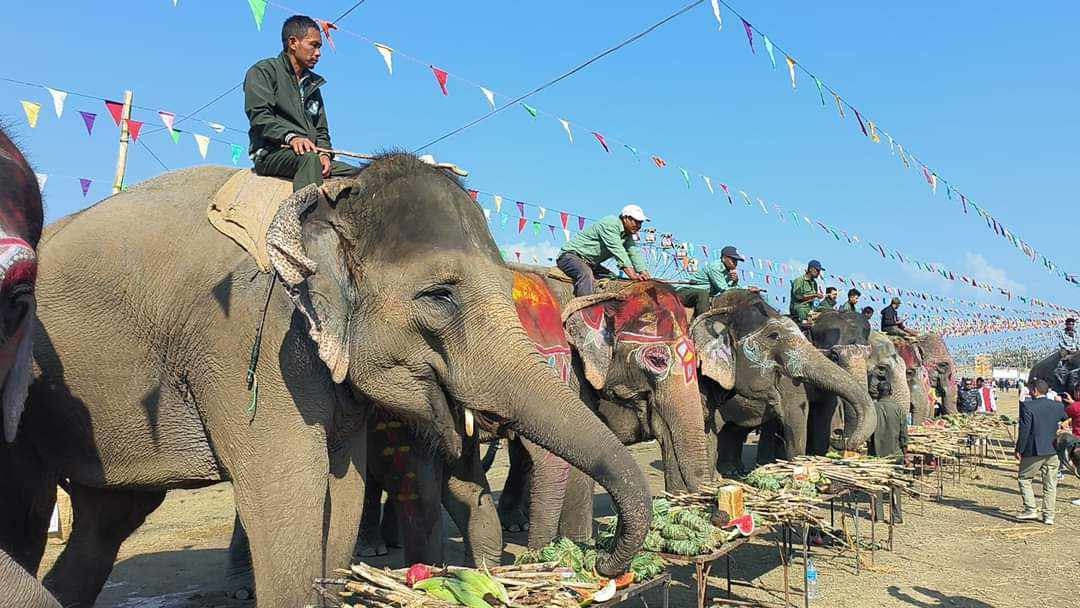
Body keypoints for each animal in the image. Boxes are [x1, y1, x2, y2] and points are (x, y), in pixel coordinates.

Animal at [0, 154, 648, 604]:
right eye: (439, 296)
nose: (602, 564)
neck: (329, 196)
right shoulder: (249, 343)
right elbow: (291, 494)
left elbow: (346, 489)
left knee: (105, 521)